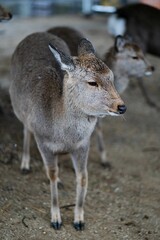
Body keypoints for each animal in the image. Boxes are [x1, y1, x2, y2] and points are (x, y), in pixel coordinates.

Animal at [9, 31, 126, 231]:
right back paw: (25, 165)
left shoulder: (83, 144)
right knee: (26, 129)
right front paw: (56, 219)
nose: (121, 106)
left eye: (111, 76)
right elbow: (52, 174)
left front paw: (79, 220)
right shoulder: (43, 141)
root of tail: (36, 33)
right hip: (19, 108)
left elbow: (83, 177)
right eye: (92, 82)